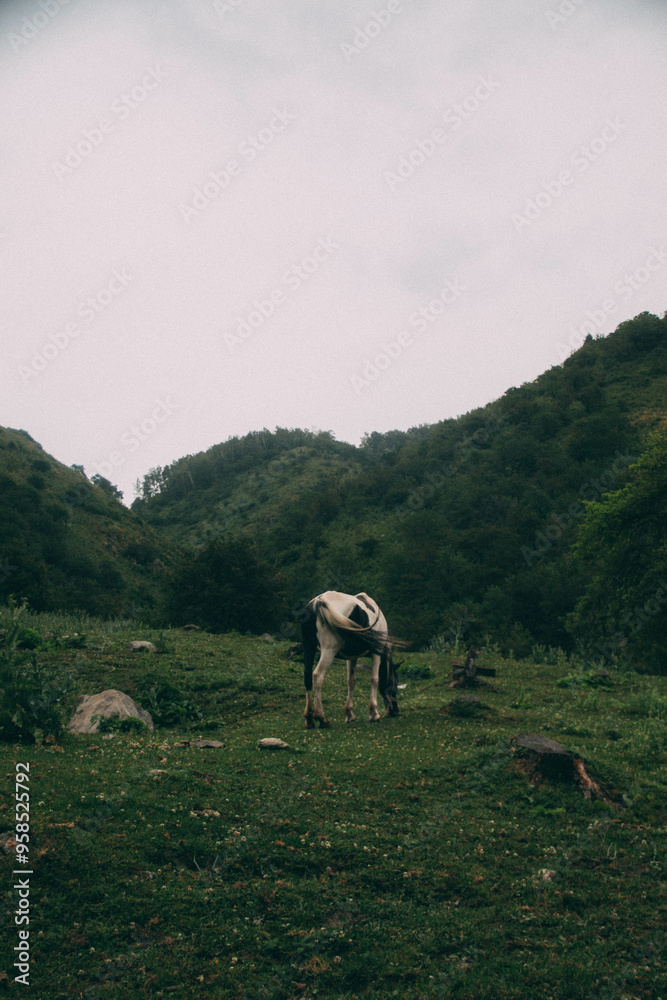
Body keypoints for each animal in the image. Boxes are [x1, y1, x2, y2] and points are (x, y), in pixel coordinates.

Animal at [300, 591, 405, 728]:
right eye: (395, 682)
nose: (395, 711)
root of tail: (318, 602)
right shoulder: (377, 653)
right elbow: (374, 679)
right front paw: (374, 714)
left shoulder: (351, 658)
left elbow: (351, 681)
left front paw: (349, 714)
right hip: (328, 651)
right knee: (317, 676)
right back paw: (322, 718)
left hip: (309, 647)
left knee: (307, 676)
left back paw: (309, 719)